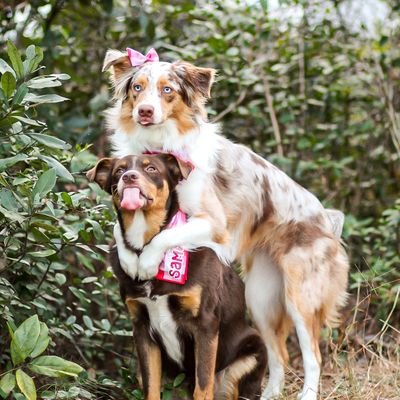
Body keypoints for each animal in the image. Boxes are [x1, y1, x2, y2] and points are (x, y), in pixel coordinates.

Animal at [88, 154, 268, 400]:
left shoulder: (205, 325)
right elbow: (151, 387)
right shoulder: (142, 329)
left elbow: (203, 386)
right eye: (119, 171)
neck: (145, 246)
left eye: (151, 169)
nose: (129, 177)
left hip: (252, 353)